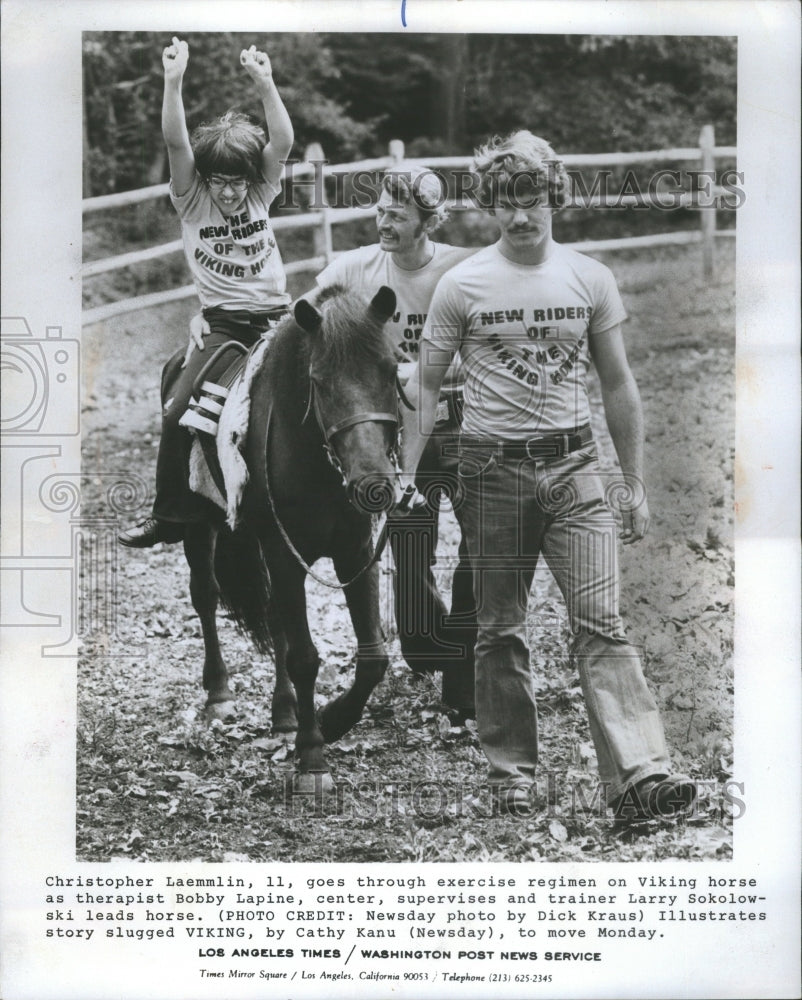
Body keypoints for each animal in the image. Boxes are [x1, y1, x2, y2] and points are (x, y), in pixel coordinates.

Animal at [185, 286, 404, 784]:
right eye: (318, 383)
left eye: (391, 369)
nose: (373, 484)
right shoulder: (285, 556)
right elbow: (304, 658)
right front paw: (312, 757)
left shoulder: (354, 552)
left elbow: (373, 657)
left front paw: (333, 719)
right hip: (198, 527)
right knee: (205, 595)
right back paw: (219, 694)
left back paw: (284, 715)